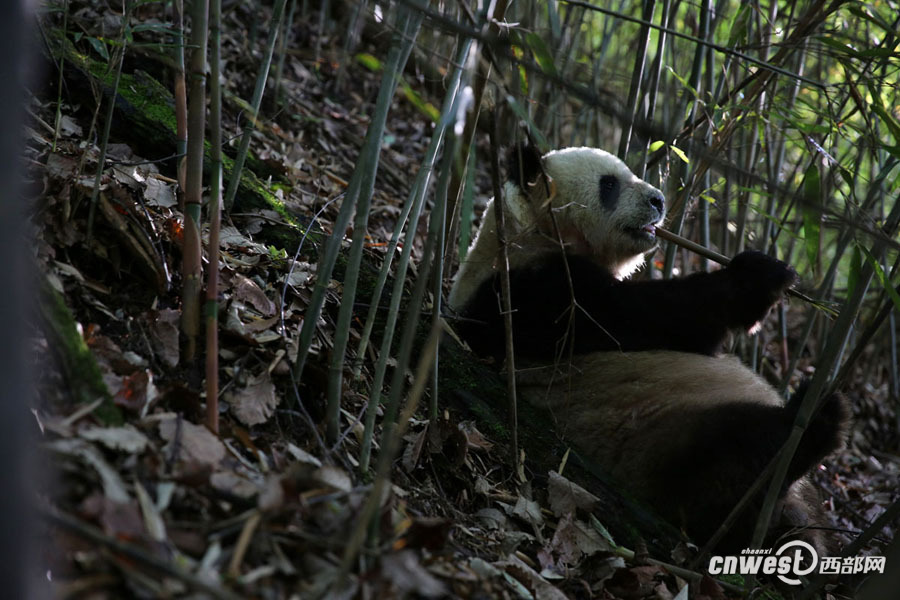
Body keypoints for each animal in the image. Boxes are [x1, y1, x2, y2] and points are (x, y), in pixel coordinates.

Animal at [450, 144, 852, 552]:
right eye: (609, 184)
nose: (658, 200)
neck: (530, 231)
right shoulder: (534, 293)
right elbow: (659, 318)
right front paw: (759, 275)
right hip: (657, 442)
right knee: (727, 461)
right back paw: (814, 422)